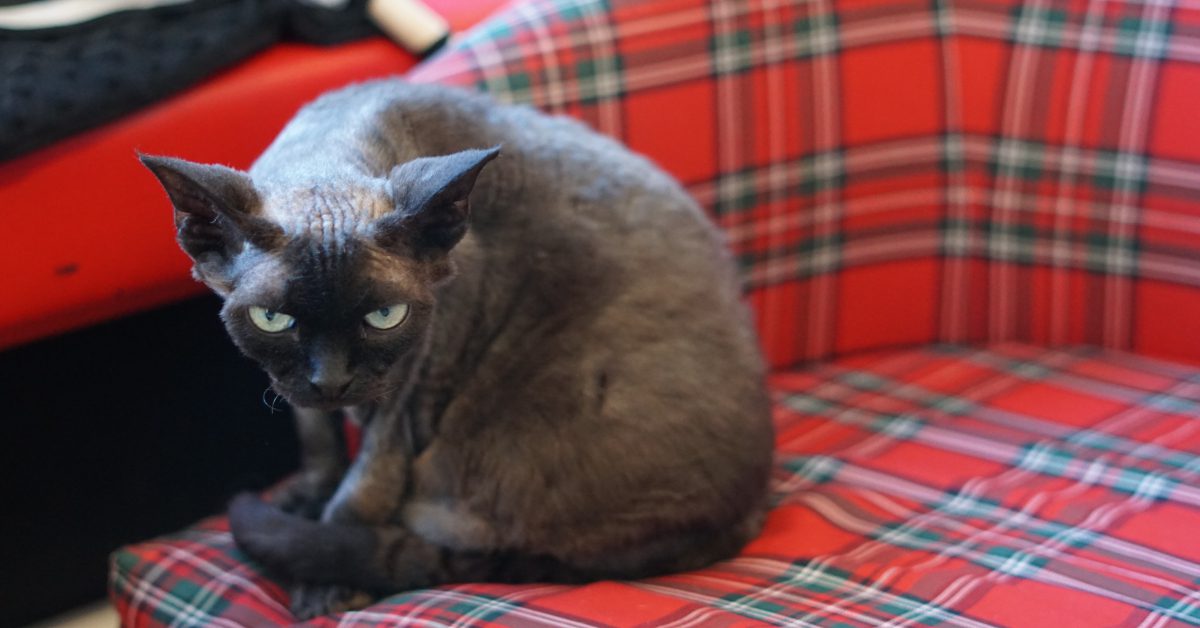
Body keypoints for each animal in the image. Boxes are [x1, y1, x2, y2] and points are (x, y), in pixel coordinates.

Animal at [140, 78, 772, 619]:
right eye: (273, 320)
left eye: (384, 317)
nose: (332, 380)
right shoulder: (296, 387)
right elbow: (315, 437)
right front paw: (310, 489)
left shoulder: (404, 392)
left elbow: (357, 495)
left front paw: (324, 586)